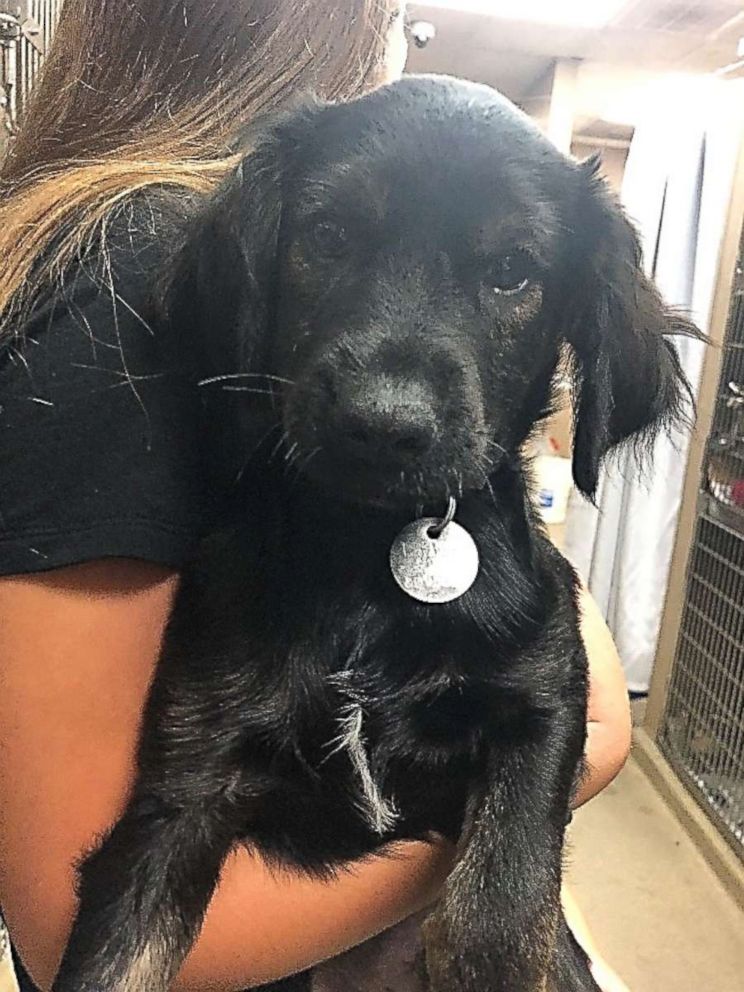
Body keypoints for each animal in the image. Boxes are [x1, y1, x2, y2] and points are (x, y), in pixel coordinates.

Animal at [52, 75, 696, 992]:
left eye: (513, 272)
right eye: (327, 235)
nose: (384, 426)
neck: (371, 554)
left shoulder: (541, 705)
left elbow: (500, 915)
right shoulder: (187, 778)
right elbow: (119, 956)